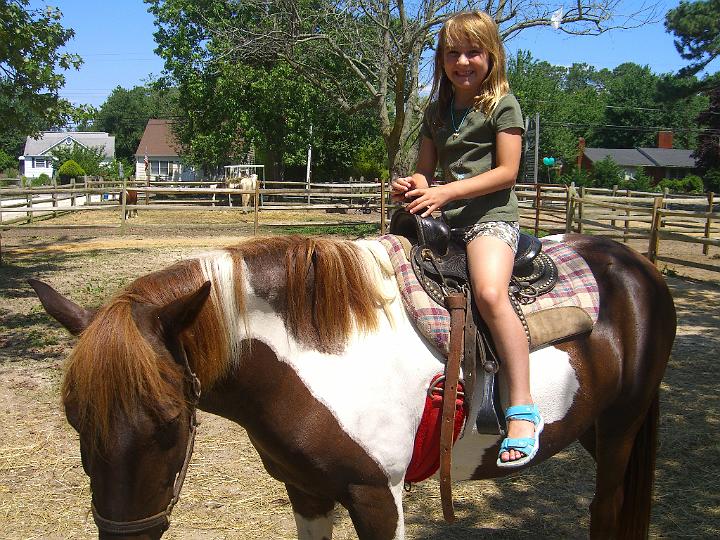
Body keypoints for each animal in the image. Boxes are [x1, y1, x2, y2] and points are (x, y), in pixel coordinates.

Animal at [31, 234, 676, 540]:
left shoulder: (377, 496)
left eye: (169, 424)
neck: (316, 356)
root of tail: (636, 266)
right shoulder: (307, 492)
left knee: (606, 512)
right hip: (593, 428)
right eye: (75, 420)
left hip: (621, 428)